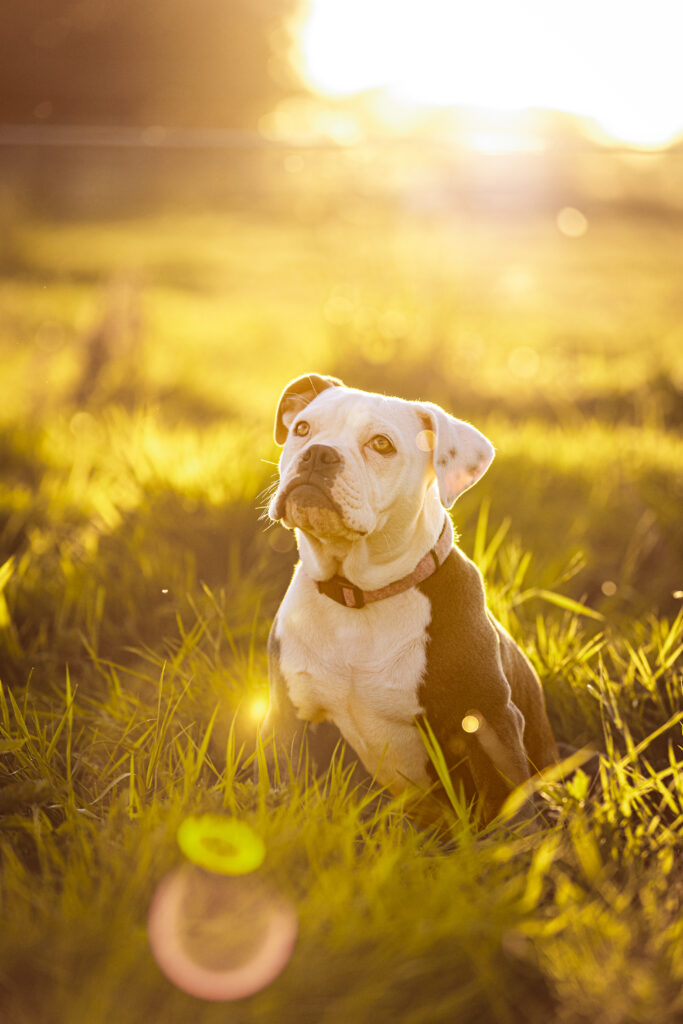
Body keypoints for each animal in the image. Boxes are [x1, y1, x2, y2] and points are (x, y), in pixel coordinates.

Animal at [259, 376, 557, 823]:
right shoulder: (290, 718)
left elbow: (509, 812)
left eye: (381, 444)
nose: (318, 454)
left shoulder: (490, 723)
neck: (358, 597)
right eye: (302, 428)